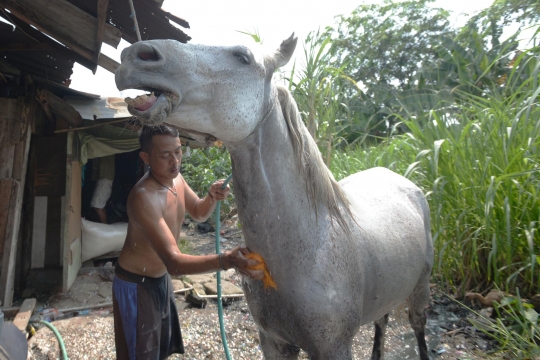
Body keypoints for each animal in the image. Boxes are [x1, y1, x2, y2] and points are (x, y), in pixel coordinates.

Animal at [116, 34, 432, 360]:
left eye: (243, 57)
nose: (134, 55)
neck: (309, 247)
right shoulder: (273, 342)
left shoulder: (334, 347)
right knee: (382, 321)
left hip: (420, 287)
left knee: (417, 324)